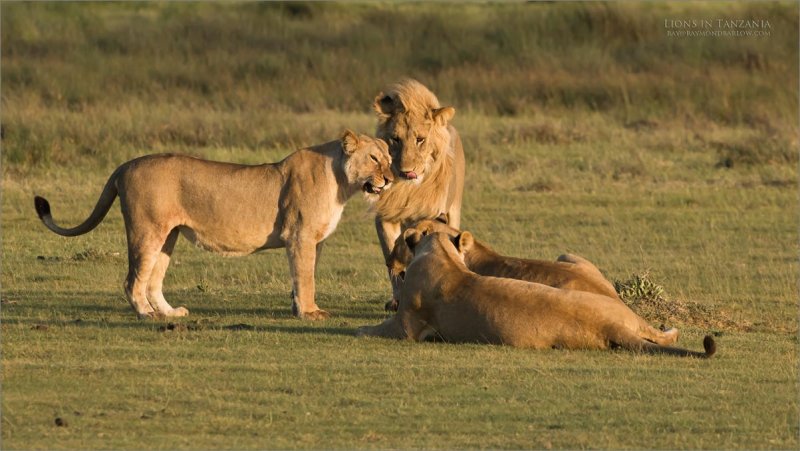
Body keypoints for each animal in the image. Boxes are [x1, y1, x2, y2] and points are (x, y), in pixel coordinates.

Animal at [360, 231, 716, 358]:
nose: (390, 261)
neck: (445, 255)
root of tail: (610, 324)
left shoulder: (406, 325)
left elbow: (375, 329)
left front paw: (361, 329)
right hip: (619, 310)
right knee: (659, 333)